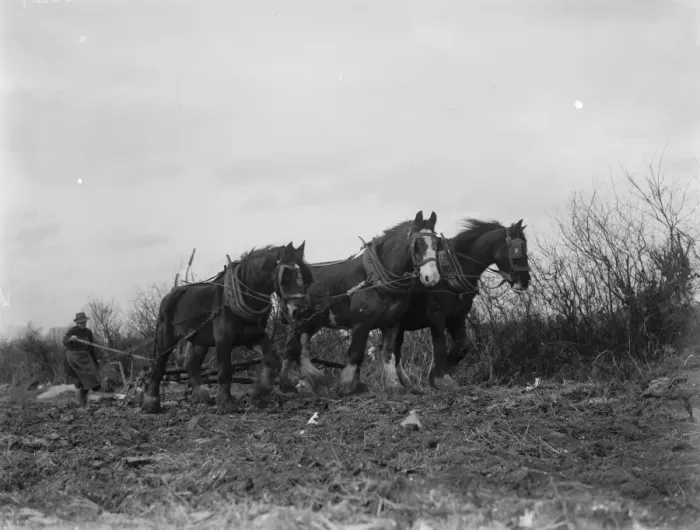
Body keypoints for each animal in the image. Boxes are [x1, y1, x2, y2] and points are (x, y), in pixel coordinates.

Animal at [142, 241, 313, 414]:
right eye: (286, 277)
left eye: (306, 277)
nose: (303, 311)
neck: (240, 295)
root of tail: (170, 295)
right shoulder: (223, 340)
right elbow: (225, 370)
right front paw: (226, 403)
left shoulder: (253, 336)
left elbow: (271, 358)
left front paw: (259, 393)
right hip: (166, 338)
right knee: (158, 367)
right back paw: (151, 402)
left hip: (201, 341)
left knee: (192, 366)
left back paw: (202, 396)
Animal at [279, 210, 442, 397]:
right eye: (417, 244)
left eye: (437, 243)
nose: (432, 277)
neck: (375, 280)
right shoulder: (360, 324)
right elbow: (356, 355)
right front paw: (347, 386)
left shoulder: (392, 324)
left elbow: (388, 354)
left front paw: (394, 386)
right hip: (299, 321)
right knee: (293, 350)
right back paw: (302, 383)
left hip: (312, 322)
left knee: (297, 350)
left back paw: (301, 384)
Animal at [394, 219, 531, 391]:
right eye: (520, 247)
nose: (526, 280)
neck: (451, 271)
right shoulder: (436, 314)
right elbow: (439, 344)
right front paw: (442, 378)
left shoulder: (457, 316)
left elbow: (462, 346)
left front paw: (435, 376)